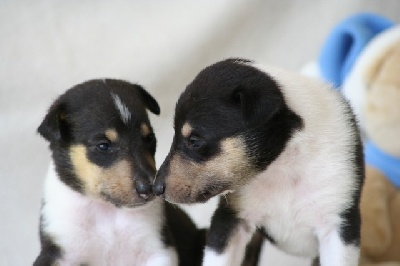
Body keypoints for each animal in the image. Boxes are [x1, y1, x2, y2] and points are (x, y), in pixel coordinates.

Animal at [32, 80, 205, 266]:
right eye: (103, 145)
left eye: (149, 138)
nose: (150, 189)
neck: (108, 212)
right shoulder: (58, 252)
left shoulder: (159, 249)